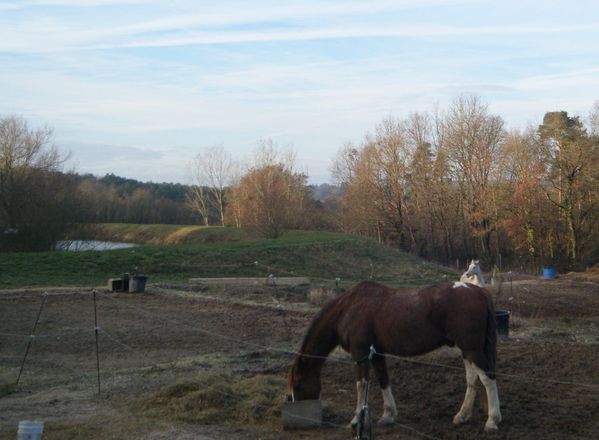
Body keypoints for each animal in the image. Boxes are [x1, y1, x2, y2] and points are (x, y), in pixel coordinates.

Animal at [288, 280, 504, 432]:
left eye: (297, 384)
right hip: (467, 350)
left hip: (472, 349)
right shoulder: (377, 354)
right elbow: (384, 380)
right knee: (472, 380)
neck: (348, 309)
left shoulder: (360, 354)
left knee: (488, 378)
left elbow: (361, 384)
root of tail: (479, 291)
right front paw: (388, 415)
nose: (298, 410)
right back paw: (462, 416)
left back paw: (492, 421)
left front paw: (357, 419)